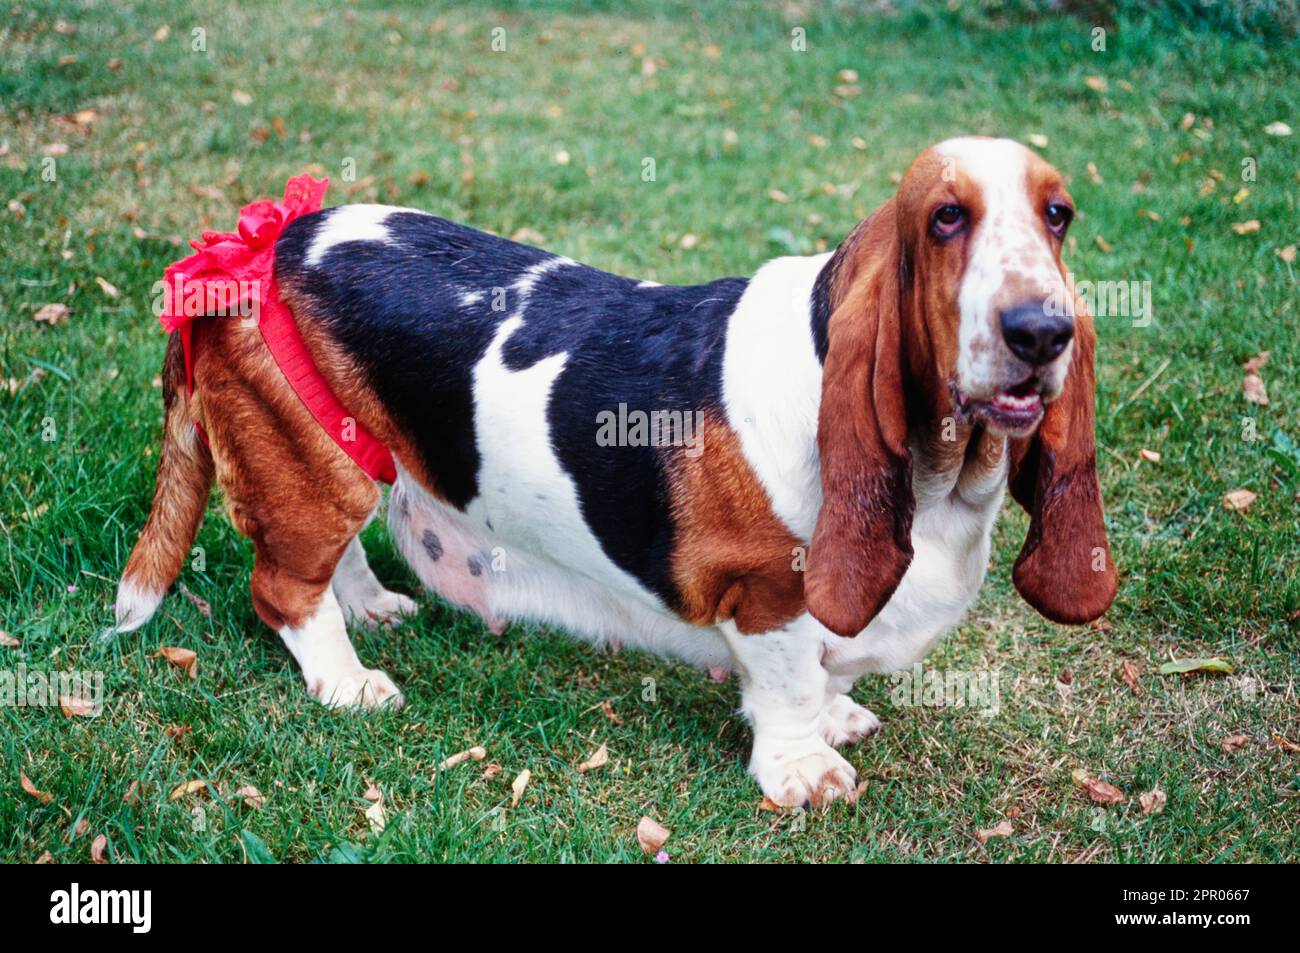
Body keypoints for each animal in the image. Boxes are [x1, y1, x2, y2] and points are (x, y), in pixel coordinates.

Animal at [119, 139, 1118, 811]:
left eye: (1058, 215)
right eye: (946, 218)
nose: (1041, 331)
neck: (943, 476)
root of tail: (261, 251)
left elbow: (826, 673)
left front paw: (838, 716)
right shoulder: (766, 593)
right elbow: (790, 680)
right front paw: (805, 768)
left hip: (349, 457)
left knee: (337, 556)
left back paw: (371, 608)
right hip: (312, 464)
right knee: (286, 585)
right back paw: (347, 680)